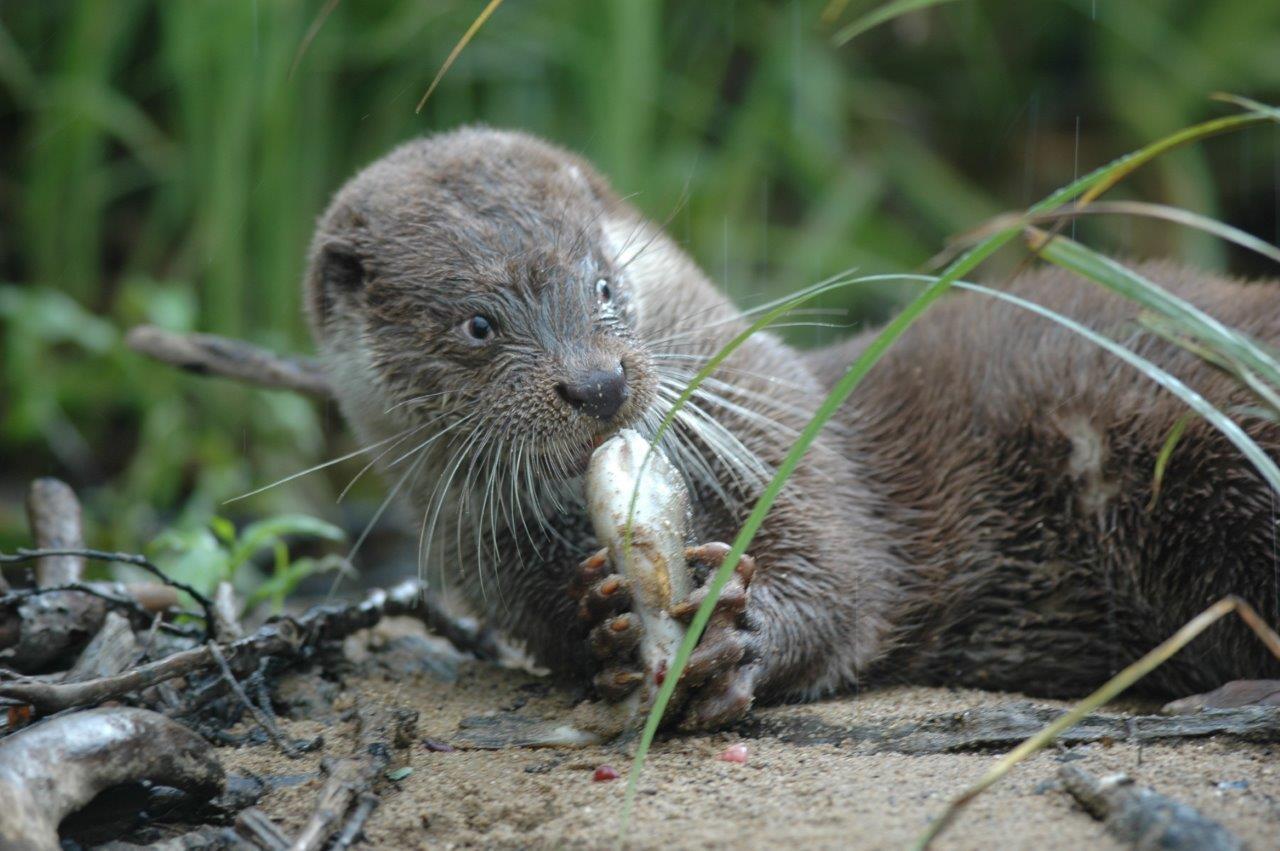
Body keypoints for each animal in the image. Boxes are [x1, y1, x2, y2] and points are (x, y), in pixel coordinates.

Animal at [307, 126, 1280, 721]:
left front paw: (736, 633)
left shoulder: (792, 440)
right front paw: (605, 622)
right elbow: (559, 634)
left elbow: (843, 579)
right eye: (478, 325)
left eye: (604, 284)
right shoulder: (492, 562)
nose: (596, 383)